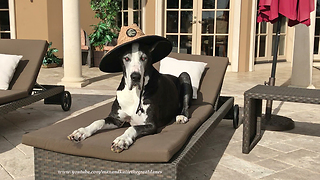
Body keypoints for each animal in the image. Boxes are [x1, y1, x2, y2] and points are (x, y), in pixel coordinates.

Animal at [68, 24, 192, 153]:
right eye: (126, 58)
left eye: (144, 58)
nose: (135, 76)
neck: (134, 92)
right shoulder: (116, 120)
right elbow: (98, 121)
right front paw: (82, 131)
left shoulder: (151, 125)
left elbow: (132, 128)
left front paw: (122, 140)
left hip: (185, 76)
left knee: (185, 105)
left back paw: (181, 116)